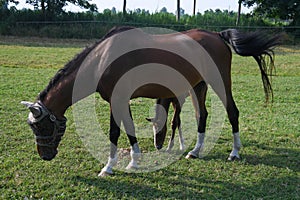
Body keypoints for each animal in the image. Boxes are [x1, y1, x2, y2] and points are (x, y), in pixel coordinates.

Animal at [21, 25, 282, 176]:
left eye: (39, 126)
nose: (44, 155)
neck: (102, 59)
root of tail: (217, 35)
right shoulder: (121, 100)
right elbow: (129, 129)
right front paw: (133, 162)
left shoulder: (117, 99)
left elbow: (116, 132)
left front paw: (109, 167)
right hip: (198, 86)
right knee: (202, 116)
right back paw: (195, 151)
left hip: (219, 82)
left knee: (232, 111)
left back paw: (235, 152)